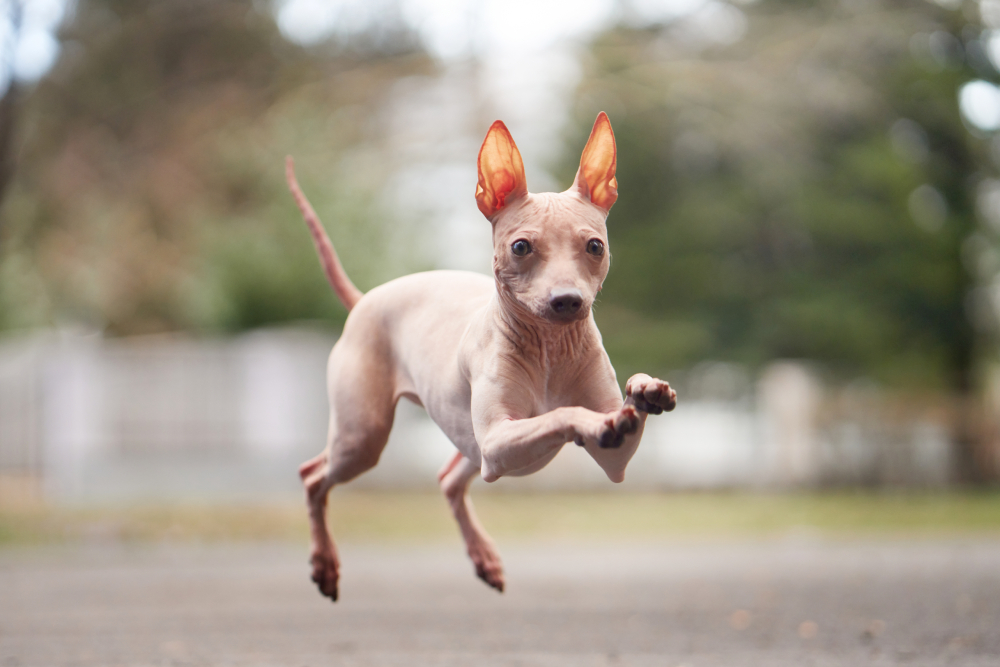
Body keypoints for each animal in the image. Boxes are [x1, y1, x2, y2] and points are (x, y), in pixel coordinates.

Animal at [288, 112, 680, 604]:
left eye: (595, 246)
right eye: (521, 247)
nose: (568, 301)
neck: (550, 349)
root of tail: (365, 299)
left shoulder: (613, 463)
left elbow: (621, 422)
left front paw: (646, 390)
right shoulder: (498, 441)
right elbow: (560, 414)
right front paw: (591, 420)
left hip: (465, 448)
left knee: (448, 479)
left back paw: (483, 557)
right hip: (365, 437)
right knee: (312, 475)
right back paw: (324, 564)